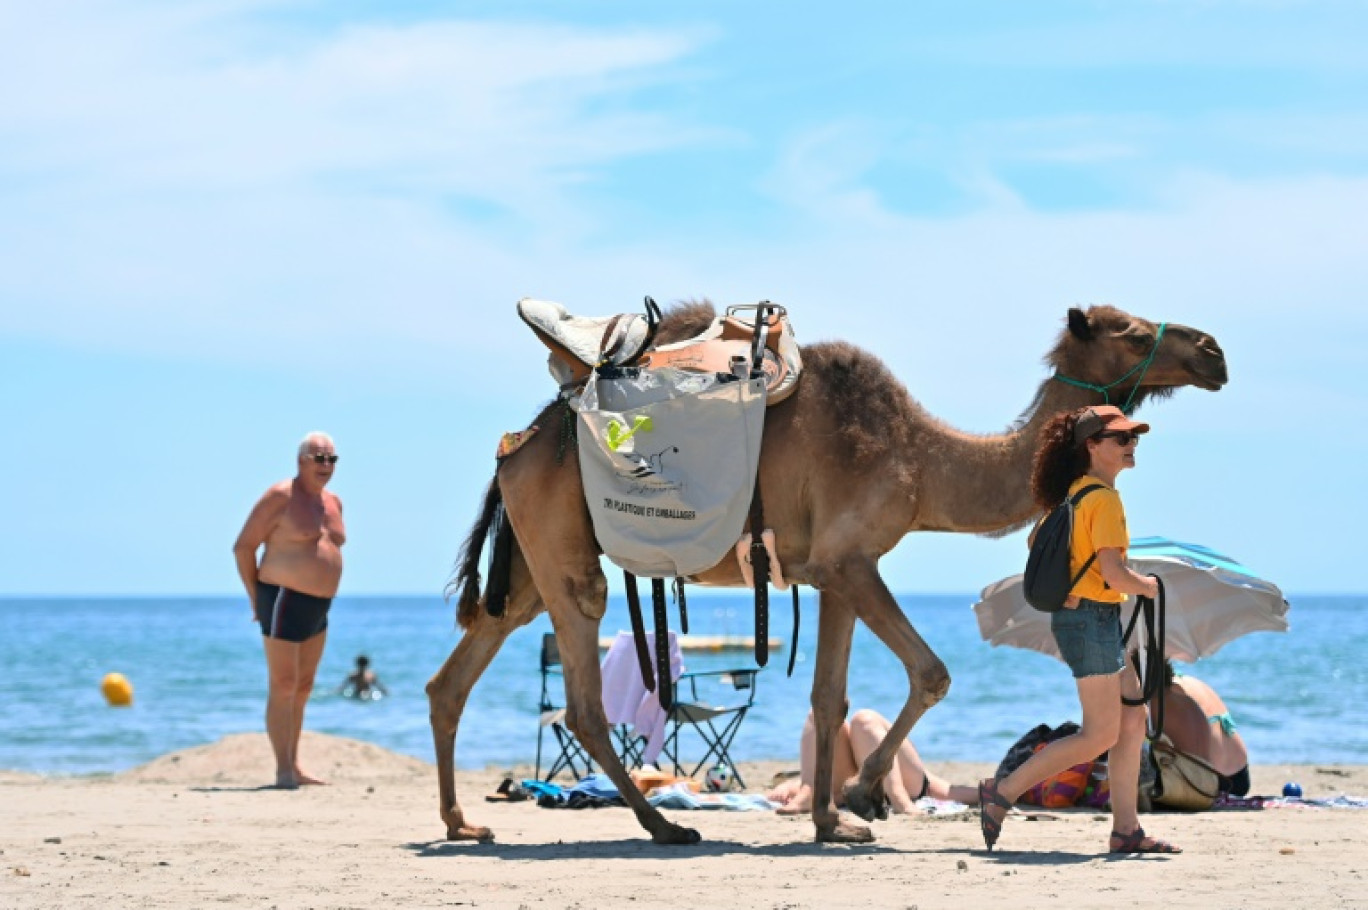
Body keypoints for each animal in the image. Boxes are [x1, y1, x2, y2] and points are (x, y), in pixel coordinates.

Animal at [424, 301, 1231, 842]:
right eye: (1132, 330)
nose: (1214, 350)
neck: (923, 460)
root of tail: (518, 444)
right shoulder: (847, 560)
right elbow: (931, 672)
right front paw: (864, 794)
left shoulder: (834, 572)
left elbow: (829, 697)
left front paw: (830, 819)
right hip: (565, 553)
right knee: (585, 698)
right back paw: (665, 827)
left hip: (529, 568)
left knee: (454, 678)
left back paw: (462, 823)